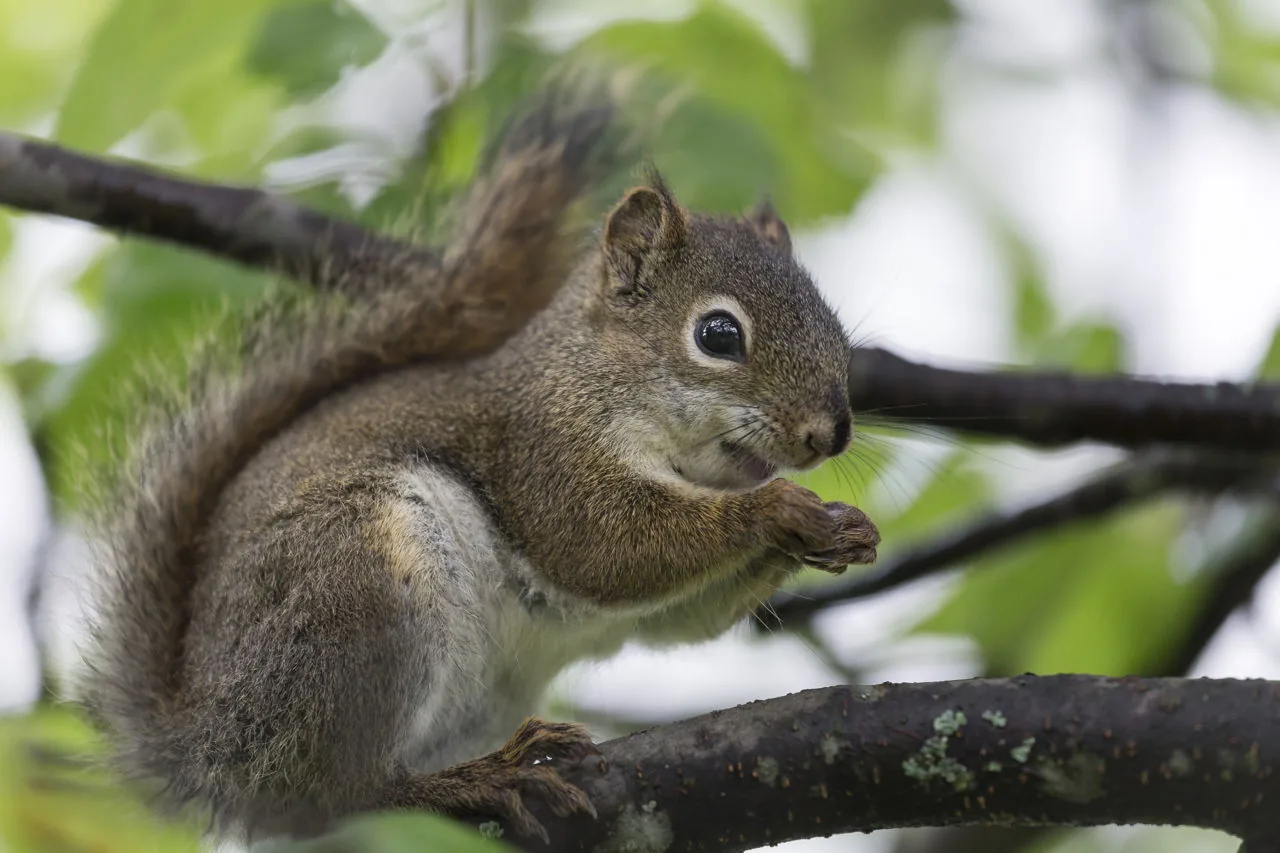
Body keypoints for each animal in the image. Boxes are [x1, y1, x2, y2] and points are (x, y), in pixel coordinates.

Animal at [74, 91, 880, 845]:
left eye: (834, 327)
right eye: (718, 334)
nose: (830, 433)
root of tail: (210, 744)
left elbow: (678, 616)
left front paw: (841, 531)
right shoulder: (543, 448)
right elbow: (604, 545)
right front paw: (777, 509)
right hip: (355, 578)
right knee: (343, 792)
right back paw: (476, 780)